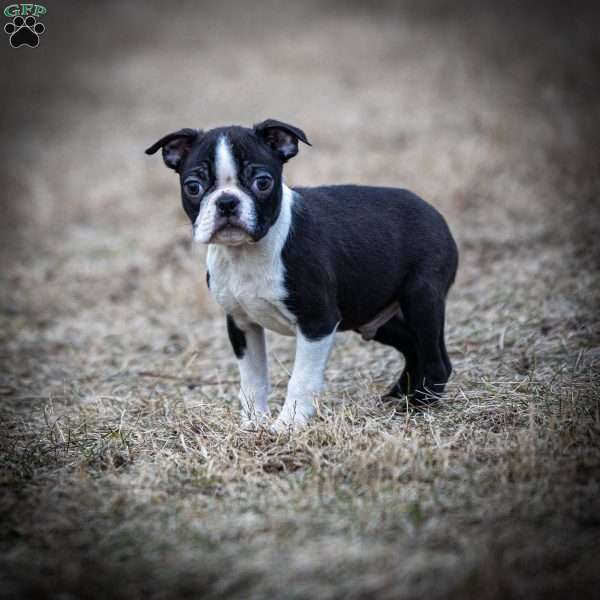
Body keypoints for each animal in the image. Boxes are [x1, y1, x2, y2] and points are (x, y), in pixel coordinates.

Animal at [145, 119, 460, 432]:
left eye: (263, 182)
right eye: (193, 186)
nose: (227, 202)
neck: (246, 254)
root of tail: (434, 211)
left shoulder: (317, 322)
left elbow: (301, 380)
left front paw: (288, 424)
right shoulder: (241, 323)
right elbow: (253, 379)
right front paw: (253, 423)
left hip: (421, 298)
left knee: (436, 359)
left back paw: (418, 404)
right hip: (372, 315)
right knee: (412, 347)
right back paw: (399, 394)